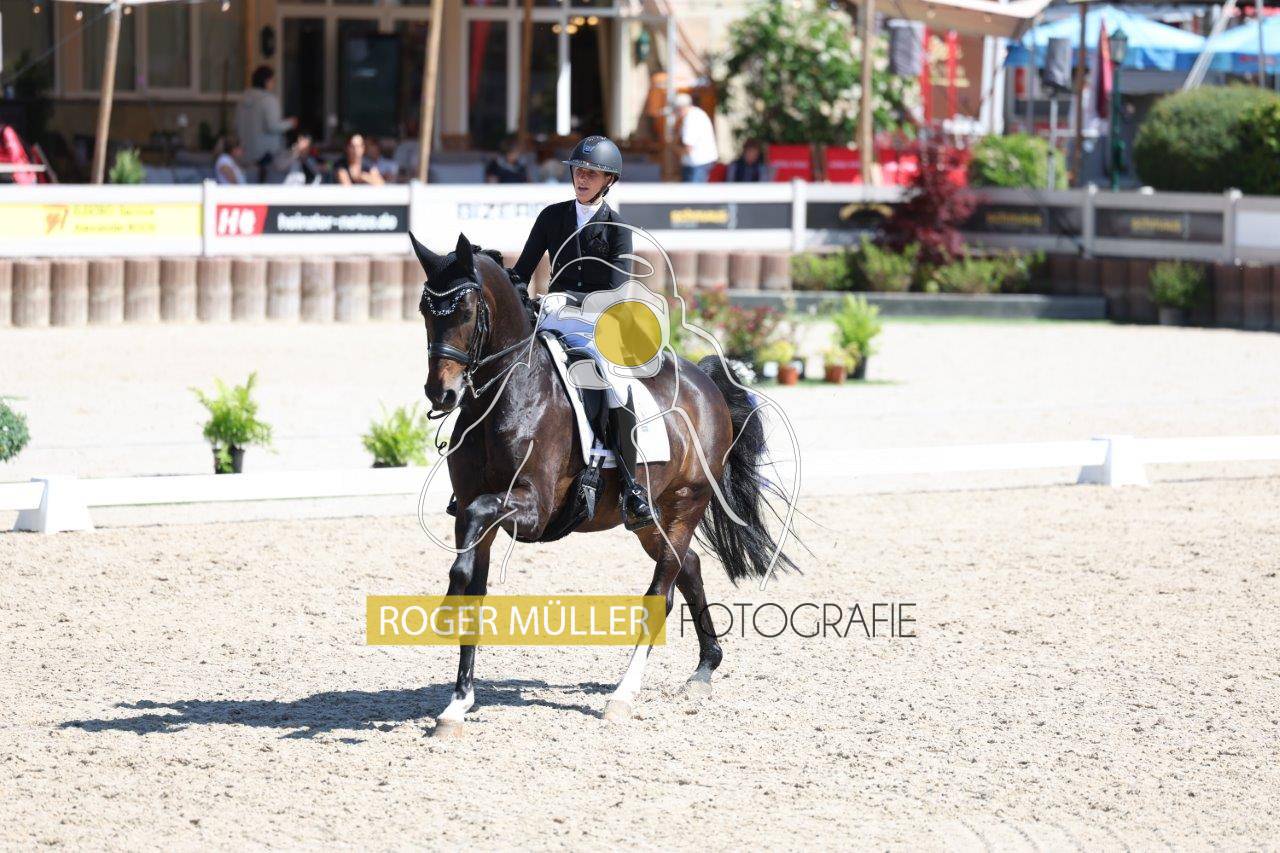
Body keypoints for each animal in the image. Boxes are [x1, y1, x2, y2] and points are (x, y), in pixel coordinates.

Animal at [412, 231, 795, 736]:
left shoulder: (532, 508)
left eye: (467, 312)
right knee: (688, 566)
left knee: (661, 591)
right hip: (650, 518)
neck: (505, 394)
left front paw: (446, 609)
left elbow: (472, 546)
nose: (442, 394)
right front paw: (456, 705)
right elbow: (474, 582)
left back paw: (623, 696)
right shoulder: (477, 512)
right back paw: (704, 669)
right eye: (425, 311)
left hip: (685, 504)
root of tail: (705, 381)